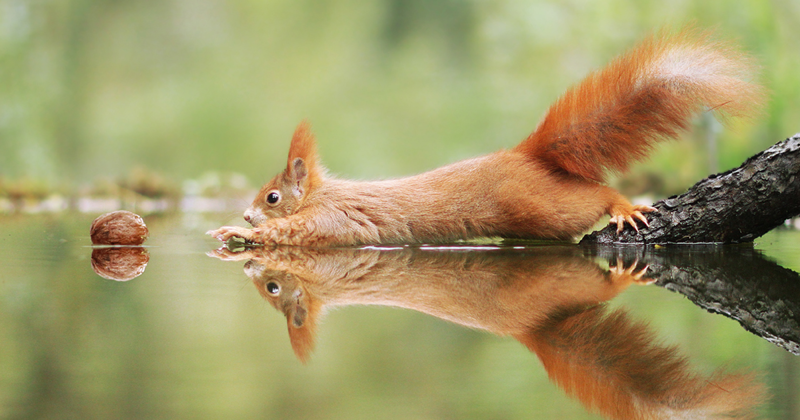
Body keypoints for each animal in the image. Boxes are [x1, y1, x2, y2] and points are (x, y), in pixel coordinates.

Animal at [208, 29, 764, 248]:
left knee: (592, 198)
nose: (246, 214)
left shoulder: (329, 220)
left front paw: (237, 233)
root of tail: (523, 155)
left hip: (540, 206)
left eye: (272, 197)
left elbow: (294, 234)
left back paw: (623, 205)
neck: (322, 195)